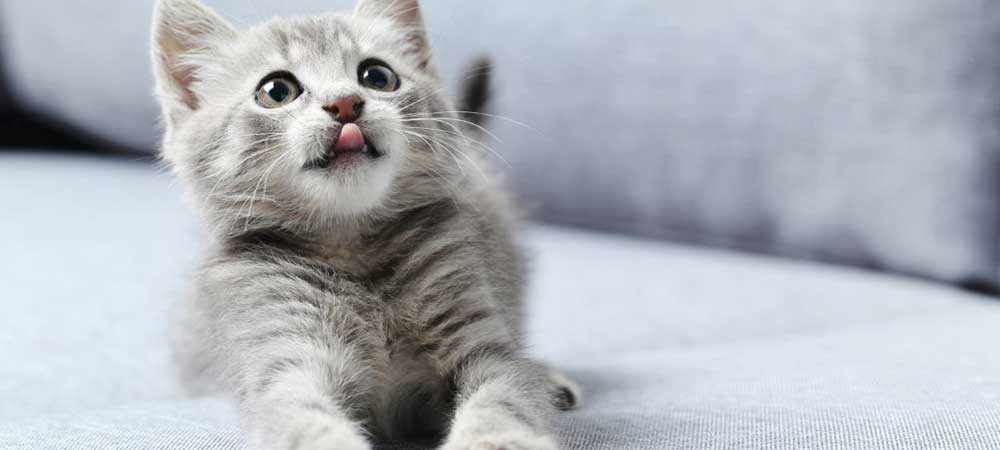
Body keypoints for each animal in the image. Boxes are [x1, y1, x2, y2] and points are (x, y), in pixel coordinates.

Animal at [151, 0, 579, 449]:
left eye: (377, 76)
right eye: (276, 90)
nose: (345, 103)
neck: (353, 251)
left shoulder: (486, 348)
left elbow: (504, 397)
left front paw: (495, 438)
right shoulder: (286, 361)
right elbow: (304, 422)